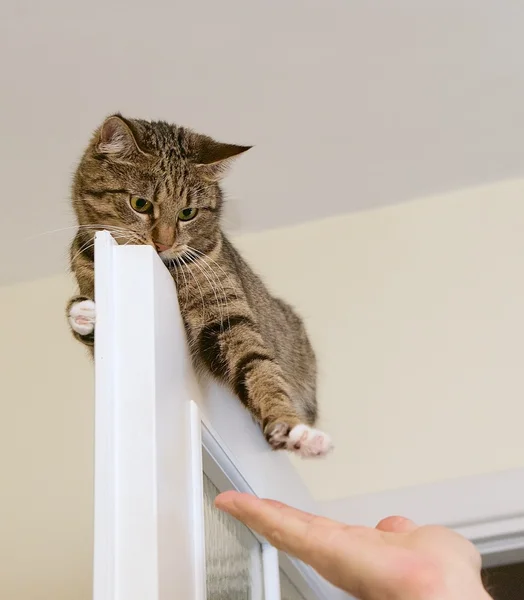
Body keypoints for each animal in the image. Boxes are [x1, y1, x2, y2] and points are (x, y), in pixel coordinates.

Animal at [67, 115, 332, 458]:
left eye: (187, 213)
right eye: (140, 203)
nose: (163, 244)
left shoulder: (226, 316)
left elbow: (258, 368)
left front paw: (291, 427)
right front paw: (84, 313)